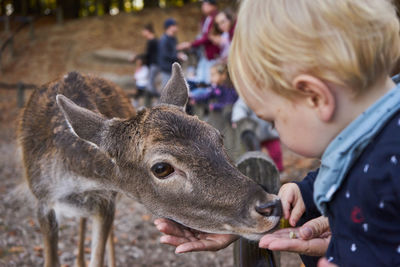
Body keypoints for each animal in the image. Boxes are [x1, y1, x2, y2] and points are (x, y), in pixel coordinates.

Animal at [18, 63, 282, 267]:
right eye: (161, 168)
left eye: (218, 137)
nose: (270, 205)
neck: (73, 181)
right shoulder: (42, 202)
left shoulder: (106, 201)